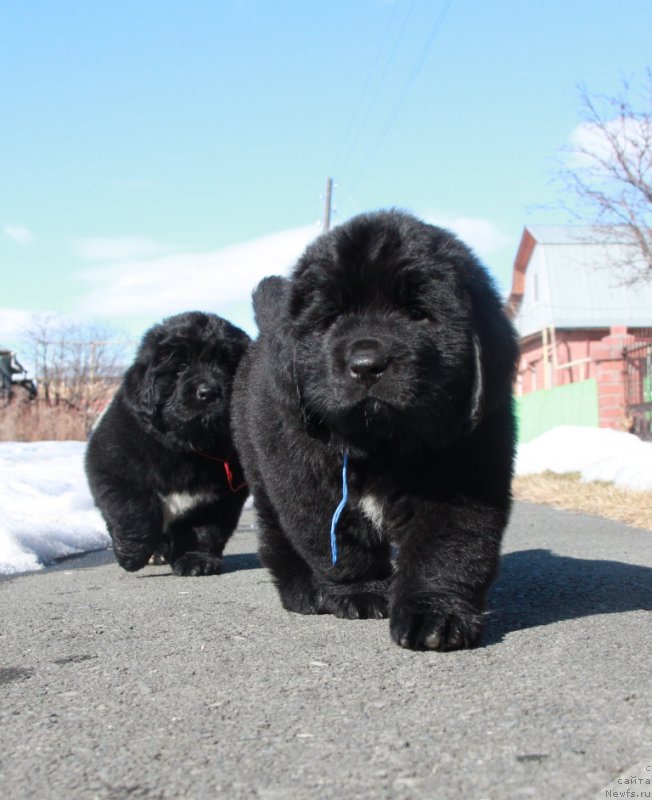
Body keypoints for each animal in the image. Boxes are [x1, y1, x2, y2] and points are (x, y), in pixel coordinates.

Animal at [86, 310, 250, 576]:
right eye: (181, 367)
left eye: (227, 366)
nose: (208, 392)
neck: (188, 448)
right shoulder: (115, 467)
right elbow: (135, 513)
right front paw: (130, 554)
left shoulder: (217, 498)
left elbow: (202, 531)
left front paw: (196, 561)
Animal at [234, 211, 520, 648]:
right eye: (332, 318)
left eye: (417, 313)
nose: (366, 364)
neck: (380, 442)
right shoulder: (305, 480)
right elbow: (338, 542)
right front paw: (363, 592)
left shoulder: (464, 470)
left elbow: (447, 546)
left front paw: (436, 617)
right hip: (259, 467)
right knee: (275, 532)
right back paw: (302, 591)